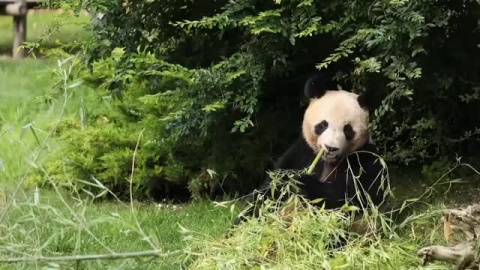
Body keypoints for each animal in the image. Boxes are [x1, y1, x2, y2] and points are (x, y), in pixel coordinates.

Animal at [236, 72, 390, 226]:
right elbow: (271, 189)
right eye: (323, 125)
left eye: (348, 130)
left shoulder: (365, 157)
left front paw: (304, 183)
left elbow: (357, 196)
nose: (331, 148)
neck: (329, 161)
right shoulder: (302, 152)